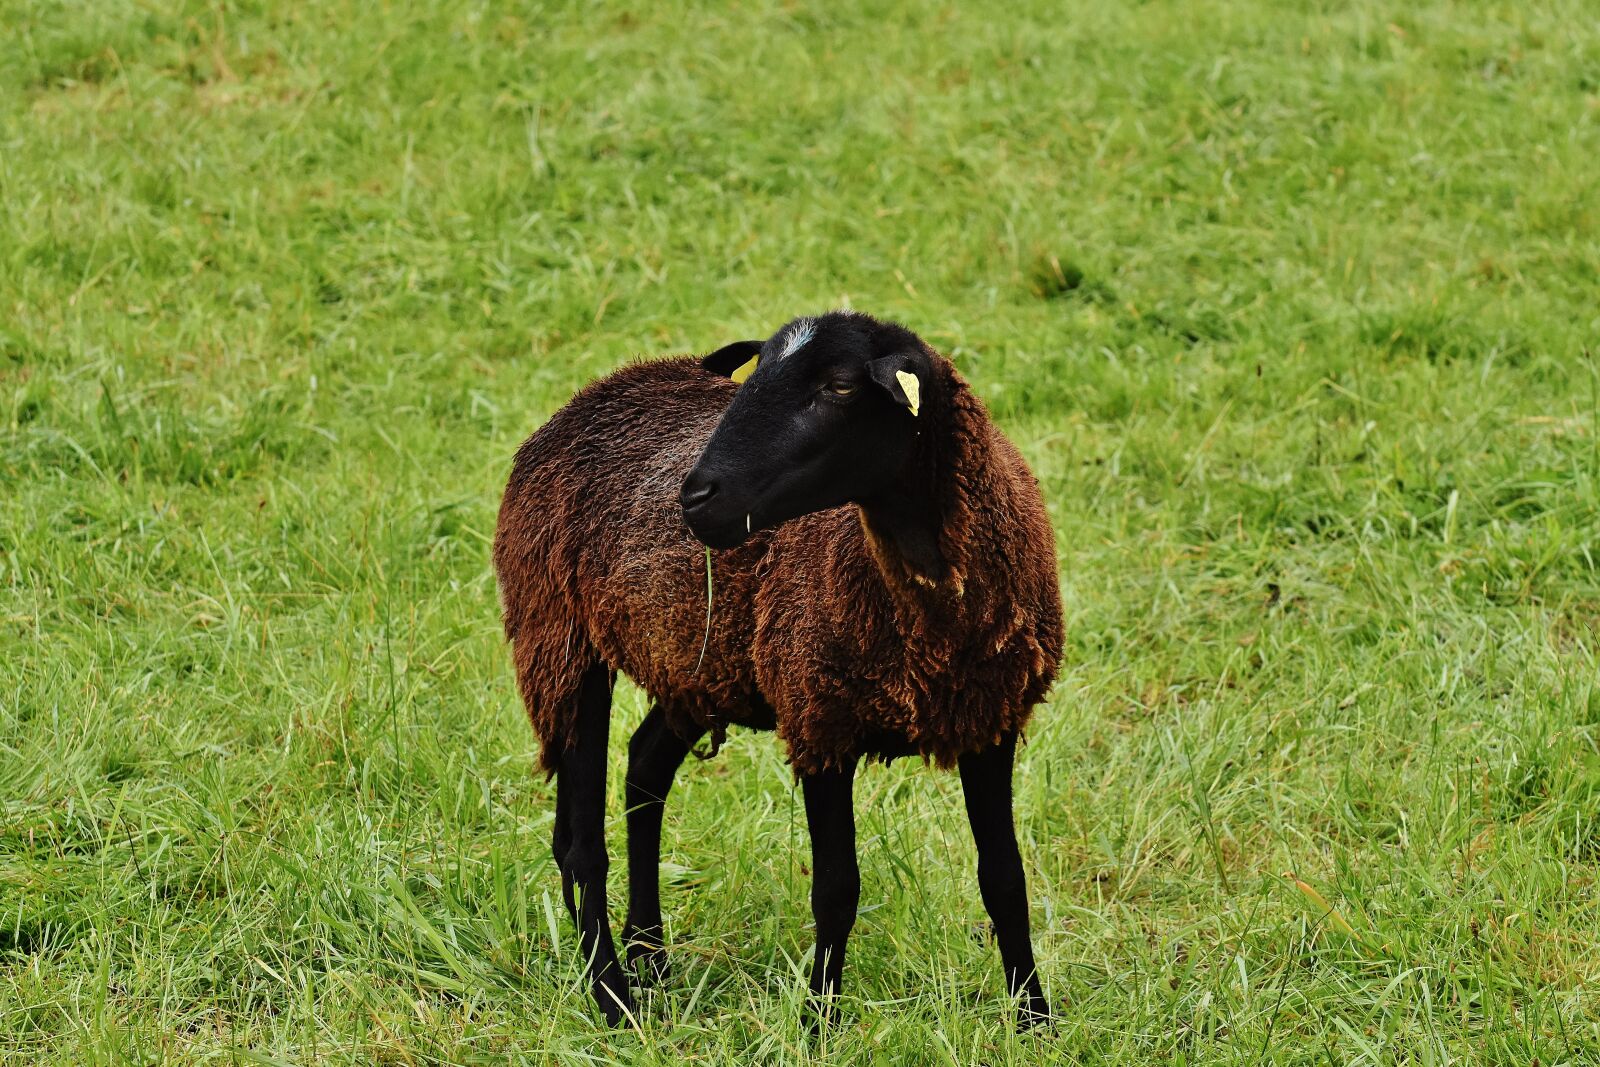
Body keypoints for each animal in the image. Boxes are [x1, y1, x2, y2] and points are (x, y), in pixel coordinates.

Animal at [493, 310, 1063, 1028]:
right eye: (757, 369)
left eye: (841, 386)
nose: (694, 496)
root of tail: (603, 387)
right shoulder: (819, 718)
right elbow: (838, 889)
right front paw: (819, 1021)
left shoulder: (990, 719)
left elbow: (1004, 879)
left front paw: (1036, 1018)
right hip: (559, 638)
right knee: (581, 846)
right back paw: (614, 996)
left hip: (694, 665)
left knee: (644, 771)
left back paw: (650, 956)